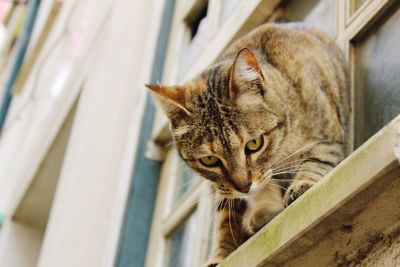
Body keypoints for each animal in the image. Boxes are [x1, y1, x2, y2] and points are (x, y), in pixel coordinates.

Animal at [147, 22, 350, 266]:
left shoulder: (329, 137)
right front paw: (221, 254)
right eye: (209, 160)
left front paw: (302, 184)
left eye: (254, 144)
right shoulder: (227, 189)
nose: (243, 186)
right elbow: (227, 217)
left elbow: (316, 159)